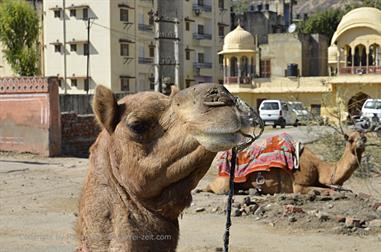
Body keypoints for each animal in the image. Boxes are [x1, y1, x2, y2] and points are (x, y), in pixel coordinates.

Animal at [203, 132, 366, 195]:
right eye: (351, 139)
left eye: (363, 136)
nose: (362, 141)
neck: (320, 167)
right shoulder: (298, 185)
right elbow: (326, 190)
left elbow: (334, 188)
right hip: (224, 181)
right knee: (218, 189)